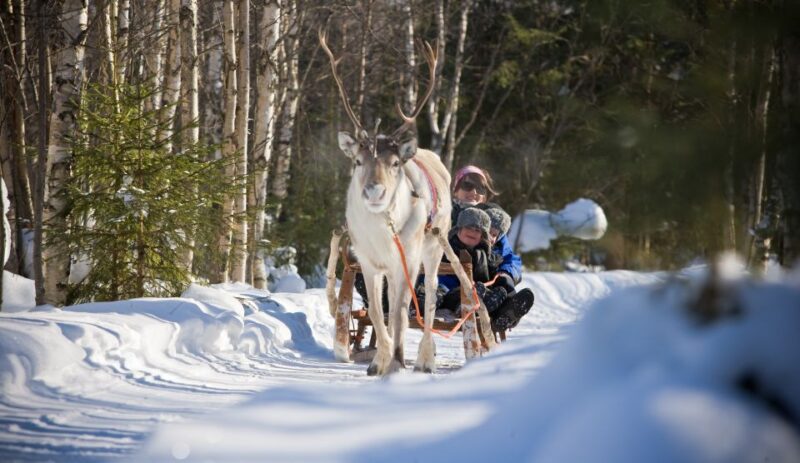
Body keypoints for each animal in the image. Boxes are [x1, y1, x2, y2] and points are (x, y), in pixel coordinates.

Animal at [320, 30, 452, 375]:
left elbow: (401, 313)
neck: (381, 235)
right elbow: (378, 314)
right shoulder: (369, 261)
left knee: (429, 300)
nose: (374, 192)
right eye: (357, 161)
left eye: (394, 163)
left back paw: (424, 359)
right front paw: (378, 361)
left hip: (433, 249)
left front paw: (396, 361)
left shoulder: (406, 259)